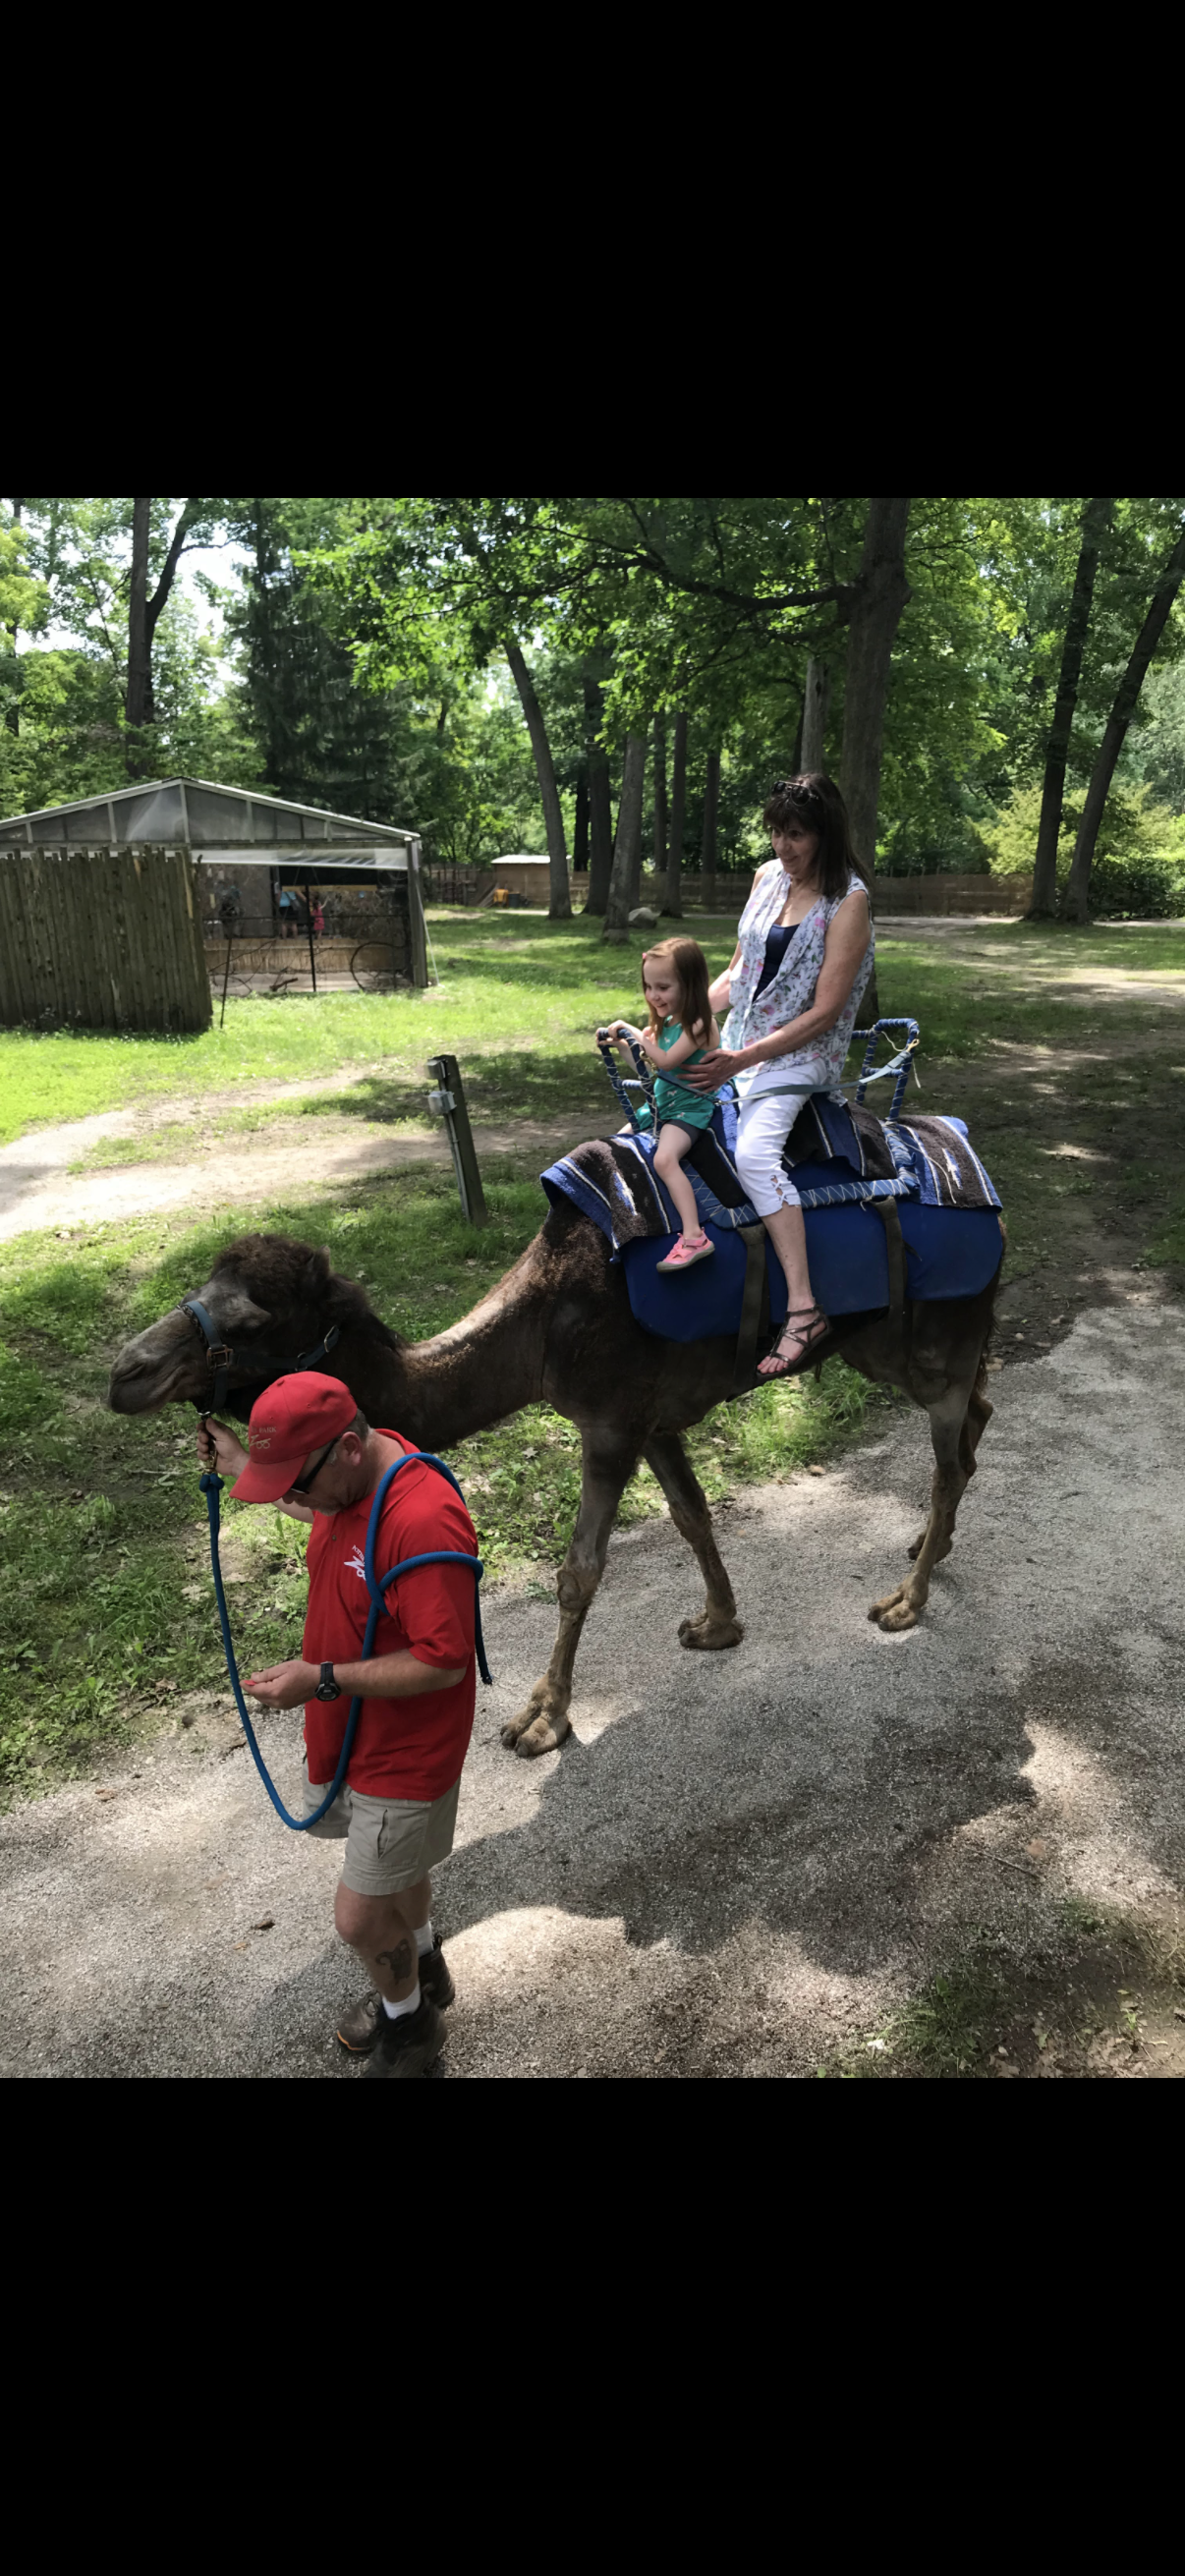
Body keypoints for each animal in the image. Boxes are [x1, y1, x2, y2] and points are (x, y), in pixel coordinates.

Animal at [108, 1198, 1001, 1757]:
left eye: (254, 1322)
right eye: (198, 1286)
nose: (126, 1372)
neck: (537, 1332)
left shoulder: (608, 1423)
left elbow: (578, 1574)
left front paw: (542, 1718)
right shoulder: (650, 1419)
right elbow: (692, 1515)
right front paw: (718, 1624)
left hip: (932, 1336)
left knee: (949, 1449)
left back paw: (906, 1597)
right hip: (884, 1344)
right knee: (976, 1416)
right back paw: (928, 1545)